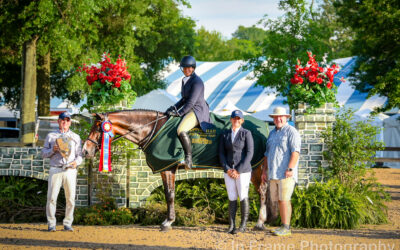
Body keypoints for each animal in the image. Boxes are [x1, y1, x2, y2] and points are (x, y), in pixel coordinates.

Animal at [81, 110, 268, 231]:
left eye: (98, 128)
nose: (85, 151)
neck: (153, 128)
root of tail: (264, 125)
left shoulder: (168, 167)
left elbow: (169, 194)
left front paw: (168, 222)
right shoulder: (167, 169)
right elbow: (169, 193)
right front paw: (169, 220)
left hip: (256, 167)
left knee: (262, 190)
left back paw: (259, 223)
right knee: (260, 191)